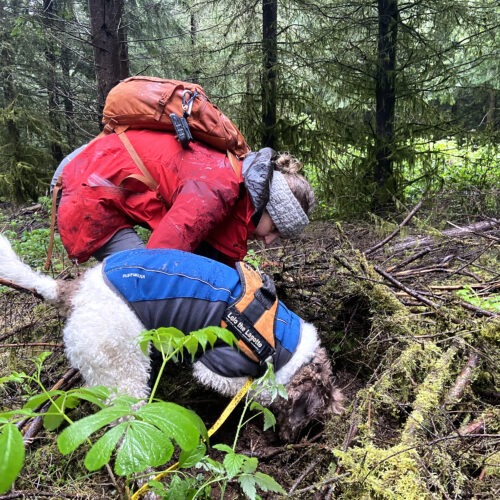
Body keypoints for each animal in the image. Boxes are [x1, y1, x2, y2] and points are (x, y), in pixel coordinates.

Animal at [0, 235, 344, 442]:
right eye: (313, 412)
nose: (289, 439)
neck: (282, 341)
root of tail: (74, 291)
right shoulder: (218, 368)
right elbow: (254, 389)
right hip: (122, 365)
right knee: (123, 415)